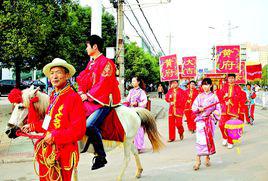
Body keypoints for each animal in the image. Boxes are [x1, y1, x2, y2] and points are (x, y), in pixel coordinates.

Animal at [6, 85, 164, 180]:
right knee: (135, 152)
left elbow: (72, 170)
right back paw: (139, 171)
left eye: (20, 107)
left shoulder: (71, 151)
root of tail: (134, 111)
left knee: (127, 159)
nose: (8, 130)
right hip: (128, 140)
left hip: (127, 140)